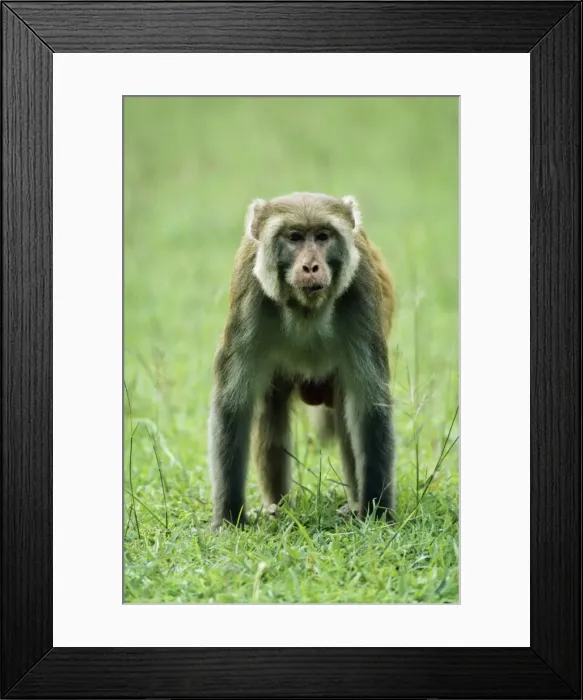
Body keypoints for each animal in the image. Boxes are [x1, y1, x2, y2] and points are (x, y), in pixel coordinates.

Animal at [208, 192, 396, 531]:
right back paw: (277, 507)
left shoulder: (361, 293)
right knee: (271, 414)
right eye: (294, 237)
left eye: (322, 237)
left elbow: (369, 407)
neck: (306, 309)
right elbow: (234, 405)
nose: (310, 266)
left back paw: (354, 504)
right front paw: (228, 519)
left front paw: (378, 514)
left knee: (346, 416)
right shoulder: (249, 296)